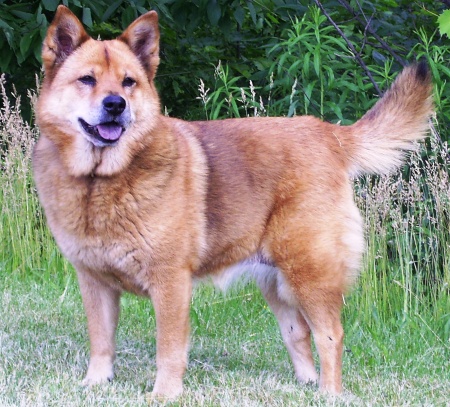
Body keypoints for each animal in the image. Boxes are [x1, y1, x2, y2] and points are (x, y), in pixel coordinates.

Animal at [33, 4, 434, 400]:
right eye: (87, 79)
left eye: (128, 82)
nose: (115, 104)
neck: (100, 182)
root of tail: (328, 133)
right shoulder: (94, 282)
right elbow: (101, 341)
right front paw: (96, 383)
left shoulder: (170, 283)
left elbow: (169, 349)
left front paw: (164, 394)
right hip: (276, 282)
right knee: (299, 334)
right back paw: (305, 385)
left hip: (309, 275)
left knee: (331, 336)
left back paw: (329, 394)